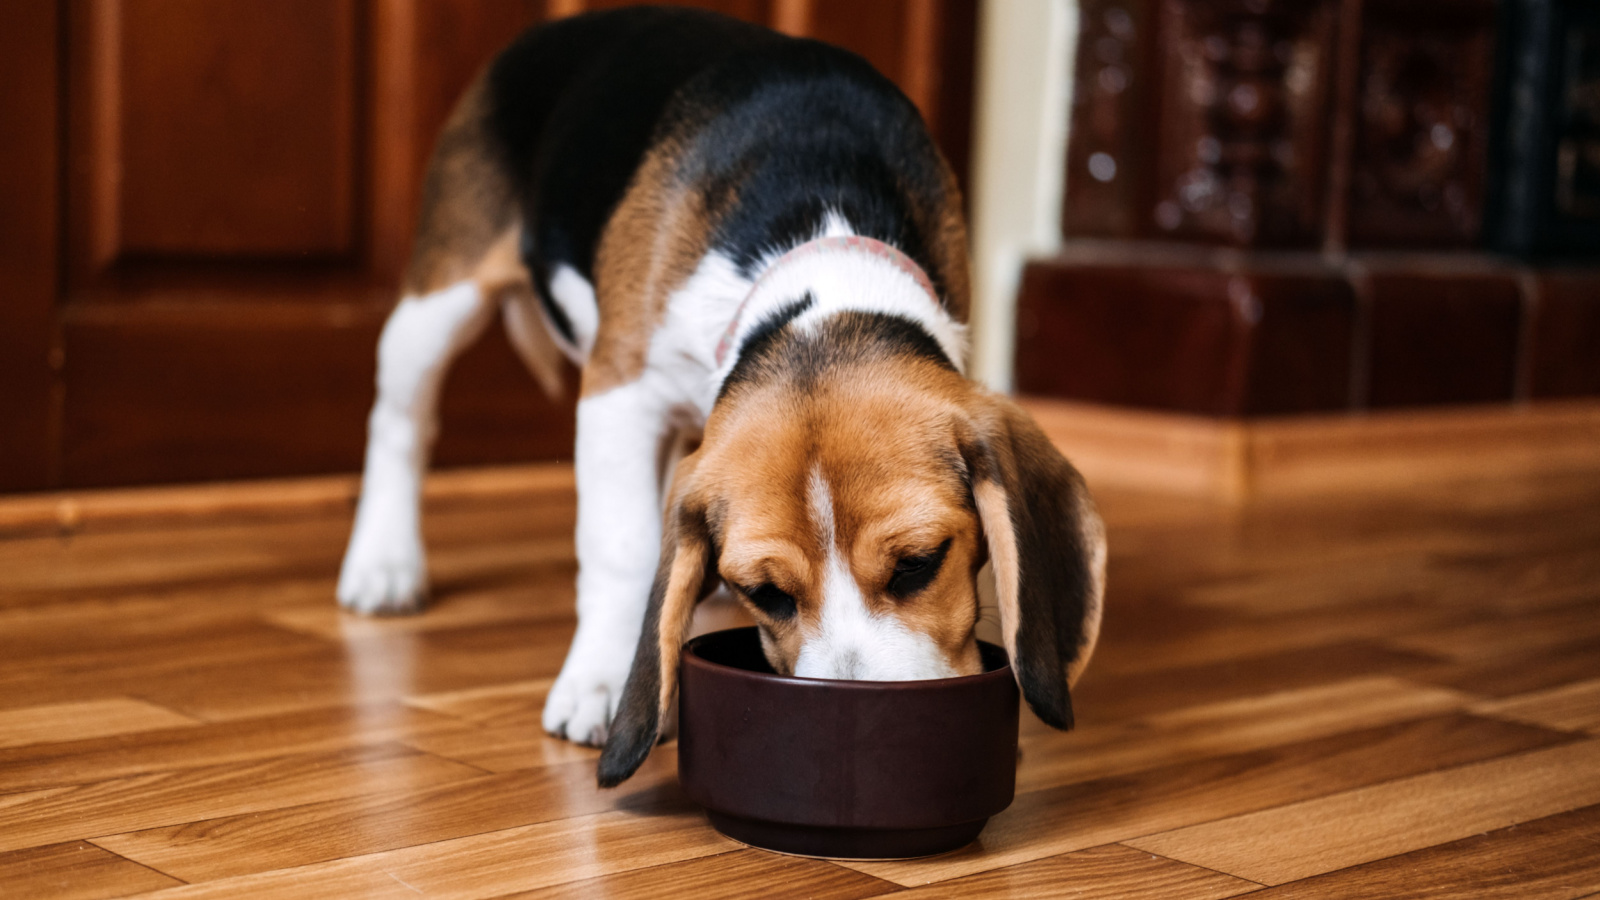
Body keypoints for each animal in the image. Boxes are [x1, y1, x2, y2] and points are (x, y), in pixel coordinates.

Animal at [337, 10, 1107, 787]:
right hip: (438, 303)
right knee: (400, 422)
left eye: (919, 564)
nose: (855, 724)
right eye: (766, 596)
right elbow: (619, 545)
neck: (820, 251)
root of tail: (559, 26)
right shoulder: (619, 392)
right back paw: (384, 563)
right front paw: (602, 680)